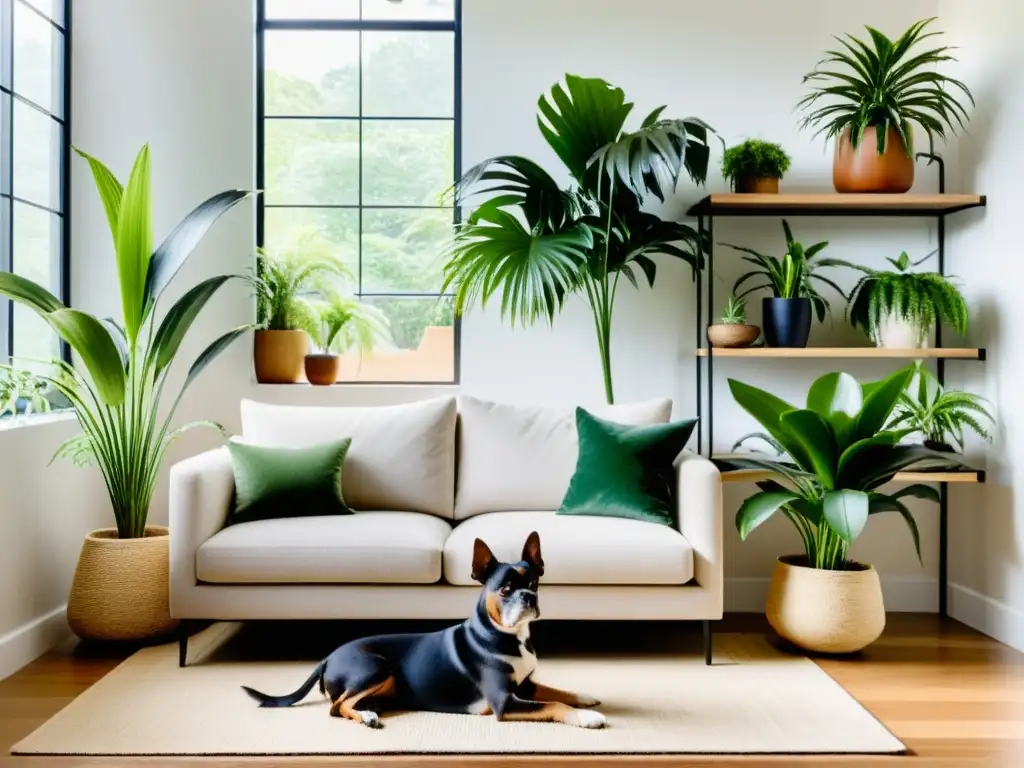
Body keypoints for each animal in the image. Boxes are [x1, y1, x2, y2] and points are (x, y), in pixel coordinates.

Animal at [242, 532, 602, 729]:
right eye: (505, 589)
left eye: (534, 583)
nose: (528, 596)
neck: (509, 636)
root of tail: (327, 658)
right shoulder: (504, 701)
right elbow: (553, 704)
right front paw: (586, 718)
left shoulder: (525, 685)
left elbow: (557, 691)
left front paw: (585, 698)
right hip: (376, 666)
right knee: (336, 706)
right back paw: (367, 716)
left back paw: (373, 708)